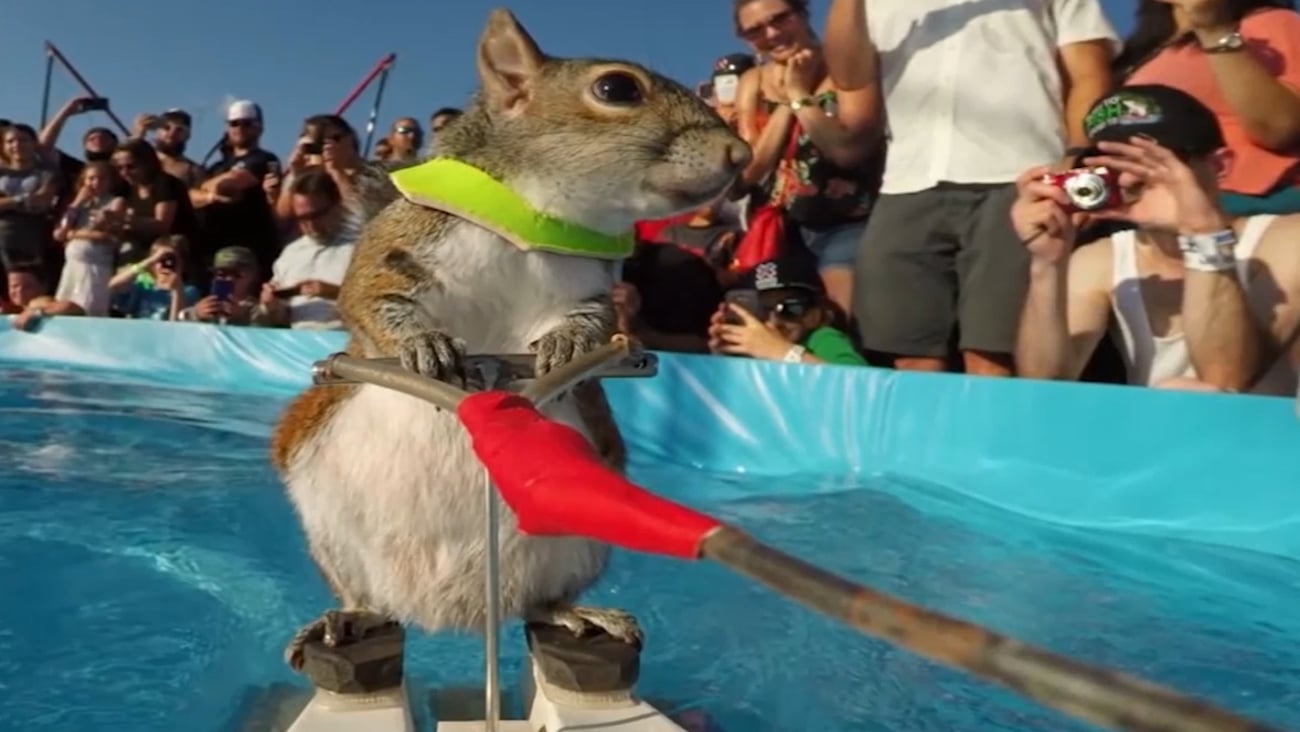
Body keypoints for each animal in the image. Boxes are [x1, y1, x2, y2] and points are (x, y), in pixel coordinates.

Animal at [270, 8, 751, 670]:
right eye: (616, 88)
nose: (742, 153)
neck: (529, 221)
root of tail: (449, 615)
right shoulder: (398, 246)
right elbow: (369, 297)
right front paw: (422, 345)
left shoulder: (592, 290)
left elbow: (596, 324)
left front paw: (567, 347)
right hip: (330, 528)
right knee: (367, 598)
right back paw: (346, 616)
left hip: (578, 540)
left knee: (541, 604)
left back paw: (580, 612)